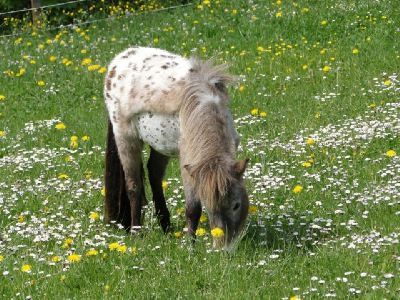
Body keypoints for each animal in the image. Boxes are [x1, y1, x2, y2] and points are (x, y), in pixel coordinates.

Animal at [103, 46, 247, 248]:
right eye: (210, 206)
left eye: (236, 205)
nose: (224, 247)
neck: (201, 106)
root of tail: (117, 62)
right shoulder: (188, 163)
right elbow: (193, 208)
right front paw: (191, 246)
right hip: (126, 138)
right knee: (133, 186)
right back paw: (136, 233)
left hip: (160, 144)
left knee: (154, 174)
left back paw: (165, 225)